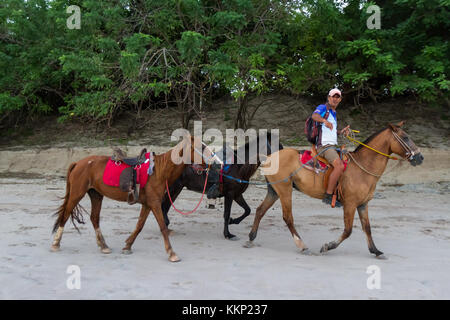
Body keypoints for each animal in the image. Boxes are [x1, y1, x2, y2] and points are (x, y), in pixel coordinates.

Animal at [52, 135, 218, 262]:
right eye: (201, 147)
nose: (216, 162)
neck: (159, 171)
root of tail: (78, 163)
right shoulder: (155, 203)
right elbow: (163, 227)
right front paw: (172, 253)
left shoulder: (148, 204)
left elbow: (139, 226)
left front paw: (127, 246)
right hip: (77, 193)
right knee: (65, 215)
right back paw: (56, 243)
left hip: (96, 195)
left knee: (94, 218)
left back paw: (103, 246)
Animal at [248, 121, 424, 258]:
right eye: (405, 137)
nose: (420, 157)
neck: (363, 167)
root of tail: (269, 158)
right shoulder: (350, 204)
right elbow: (348, 230)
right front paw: (328, 246)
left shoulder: (363, 204)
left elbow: (367, 228)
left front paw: (375, 250)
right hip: (285, 191)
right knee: (287, 217)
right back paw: (302, 245)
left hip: (274, 191)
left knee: (260, 210)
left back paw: (251, 237)